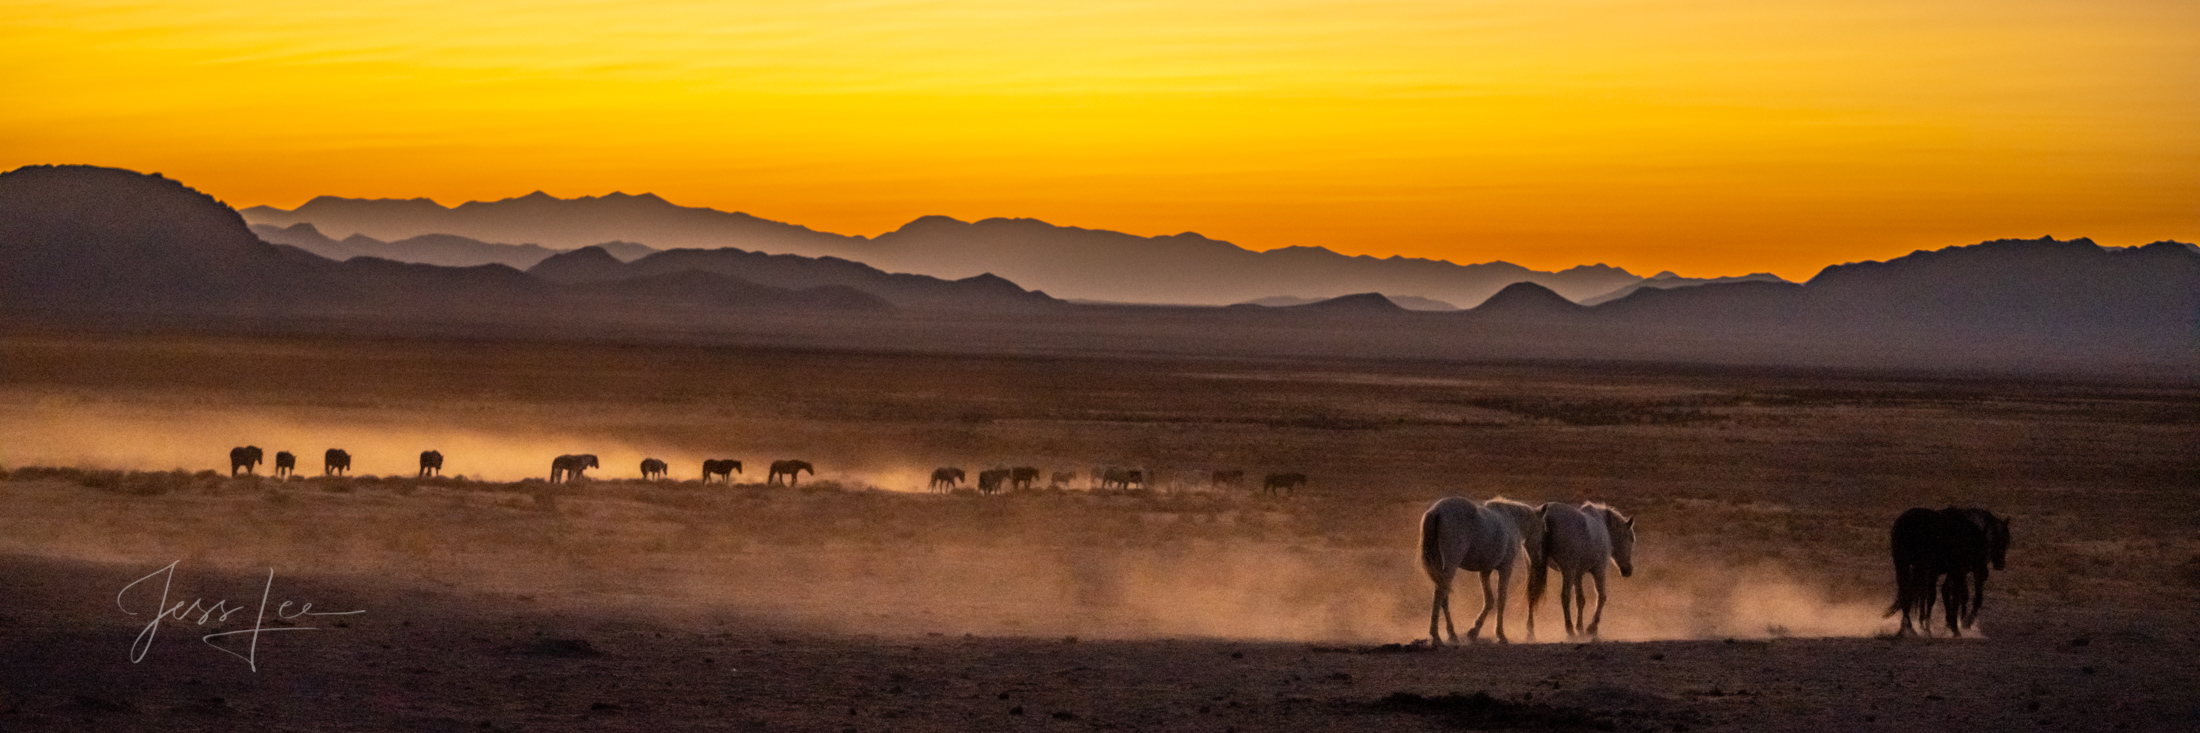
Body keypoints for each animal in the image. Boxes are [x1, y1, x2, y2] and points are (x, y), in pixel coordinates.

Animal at [1416, 493, 1522, 642]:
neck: (1510, 519)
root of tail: (1435, 512)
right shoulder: (1505, 568)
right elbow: (1501, 599)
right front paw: (1500, 635)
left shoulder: (1485, 570)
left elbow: (1489, 600)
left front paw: (1474, 631)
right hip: (1451, 566)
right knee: (1440, 594)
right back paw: (1437, 635)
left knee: (1443, 596)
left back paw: (1451, 634)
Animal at [1540, 499, 1645, 638]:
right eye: (1631, 539)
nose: (1628, 570)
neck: (1604, 526)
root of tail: (1547, 516)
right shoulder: (1598, 570)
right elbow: (1601, 597)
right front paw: (1592, 627)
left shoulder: (1578, 574)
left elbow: (1580, 599)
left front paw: (1580, 627)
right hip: (1567, 570)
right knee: (1565, 596)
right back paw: (1569, 629)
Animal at [1892, 501, 2015, 633]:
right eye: (1996, 541)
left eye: (2007, 541)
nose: (2000, 564)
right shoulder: (1960, 571)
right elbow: (1960, 595)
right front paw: (1958, 623)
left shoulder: (1958, 571)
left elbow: (1955, 594)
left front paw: (1955, 622)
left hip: (1907, 566)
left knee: (1910, 591)